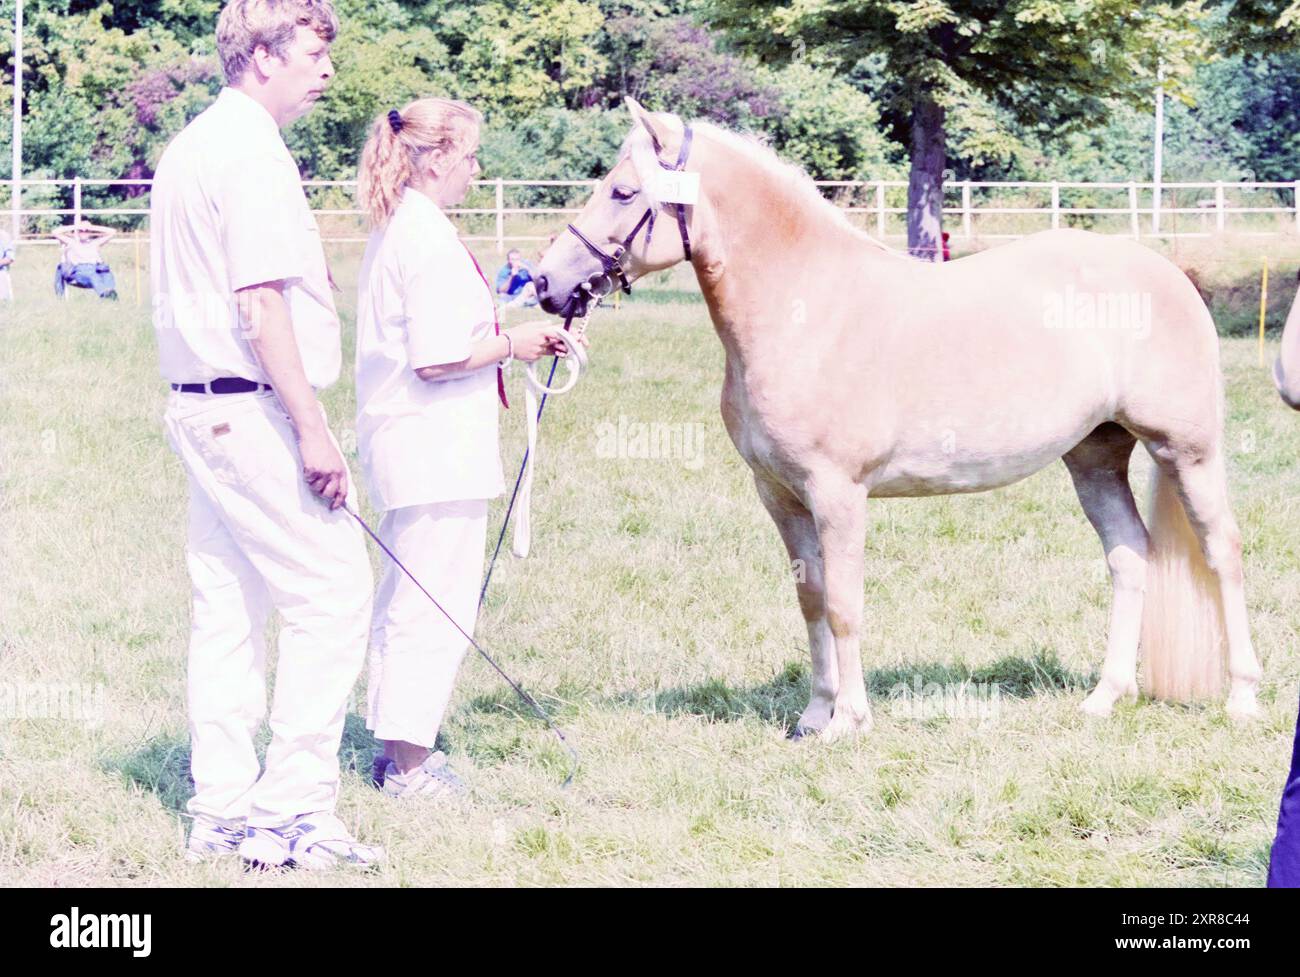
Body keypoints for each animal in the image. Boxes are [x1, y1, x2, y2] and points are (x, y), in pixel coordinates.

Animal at [533, 101, 1263, 737]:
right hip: (1095, 457)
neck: (805, 307)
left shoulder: (838, 493)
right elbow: (812, 601)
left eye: (623, 192)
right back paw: (1106, 696)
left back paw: (1242, 698)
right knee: (1129, 555)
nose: (544, 283)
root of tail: (1168, 273)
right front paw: (814, 715)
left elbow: (845, 605)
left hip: (1186, 452)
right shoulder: (780, 495)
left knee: (1222, 552)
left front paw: (848, 721)